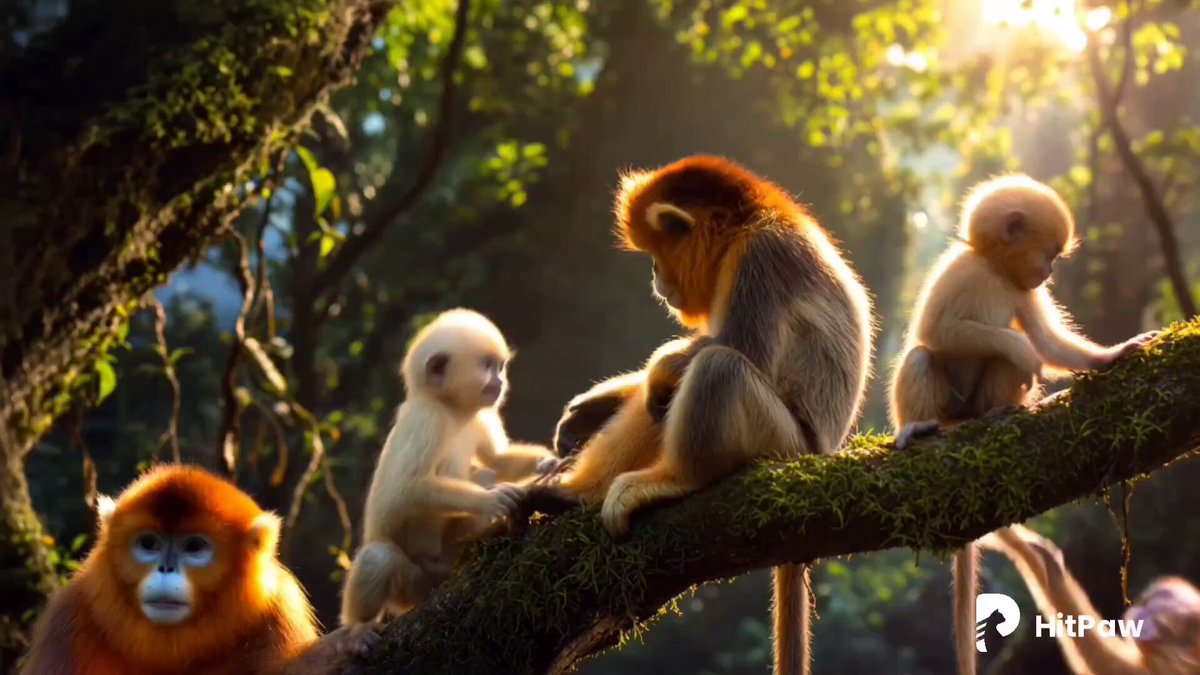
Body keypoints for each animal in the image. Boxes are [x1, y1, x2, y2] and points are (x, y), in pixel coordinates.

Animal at [339, 308, 559, 646]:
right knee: (379, 557)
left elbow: (496, 459)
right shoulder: (428, 419)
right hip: (414, 586)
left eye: (500, 366)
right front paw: (491, 500)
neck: (452, 409)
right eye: (487, 366)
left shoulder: (480, 414)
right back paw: (357, 627)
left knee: (483, 470)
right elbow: (410, 487)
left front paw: (547, 462)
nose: (500, 380)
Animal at [540, 156, 874, 675]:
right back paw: (575, 492)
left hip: (780, 443)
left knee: (719, 368)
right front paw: (592, 407)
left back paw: (667, 480)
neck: (751, 221)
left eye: (658, 254)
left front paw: (660, 367)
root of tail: (820, 453)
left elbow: (742, 348)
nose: (656, 279)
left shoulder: (760, 259)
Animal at [887, 174, 1159, 675]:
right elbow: (940, 332)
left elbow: (1047, 344)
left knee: (998, 365)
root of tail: (960, 419)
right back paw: (920, 428)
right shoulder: (963, 271)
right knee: (924, 354)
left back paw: (999, 412)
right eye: (1048, 253)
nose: (1049, 271)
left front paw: (1114, 354)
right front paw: (1017, 346)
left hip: (975, 402)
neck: (994, 270)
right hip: (946, 405)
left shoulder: (1020, 289)